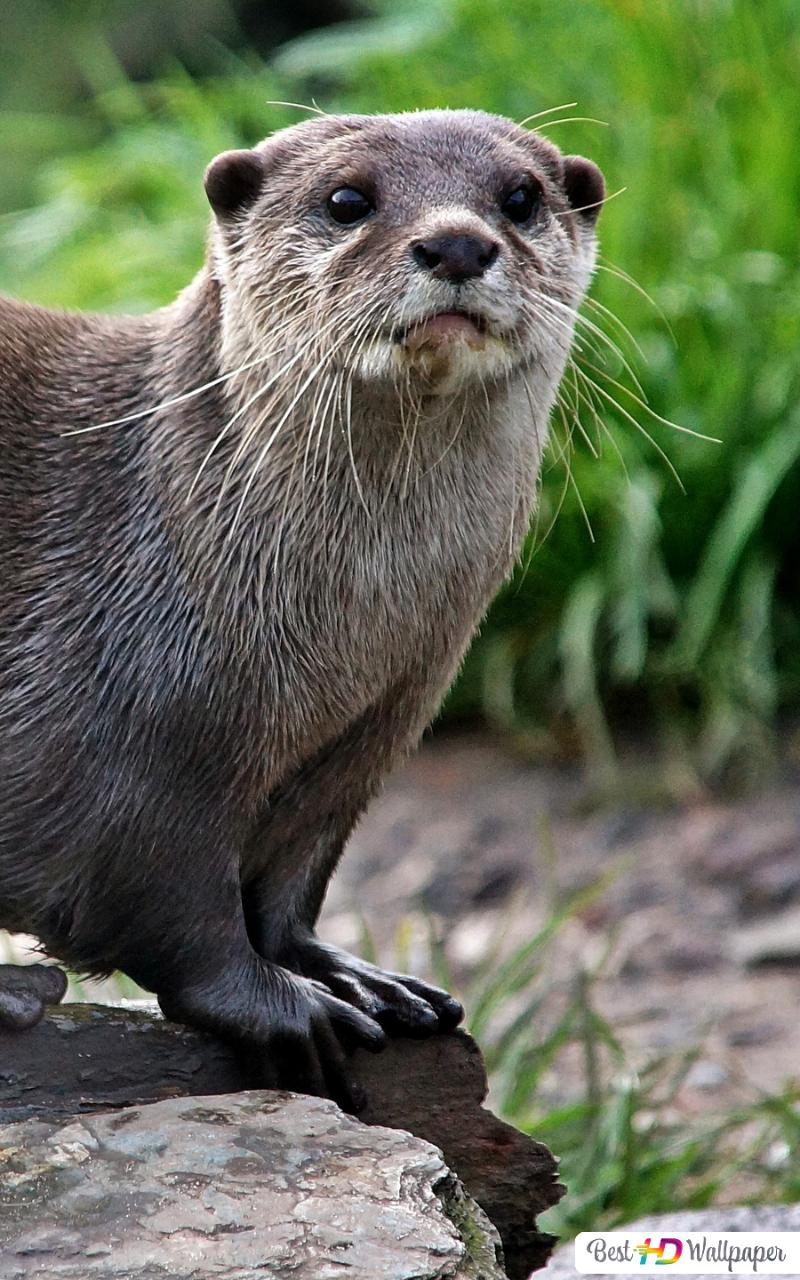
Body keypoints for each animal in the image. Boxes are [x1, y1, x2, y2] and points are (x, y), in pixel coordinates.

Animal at [0, 109, 604, 1111]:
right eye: (347, 199)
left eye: (520, 196)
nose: (456, 243)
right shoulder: (140, 745)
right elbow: (172, 901)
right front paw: (283, 1007)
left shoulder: (367, 738)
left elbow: (291, 879)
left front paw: (351, 976)